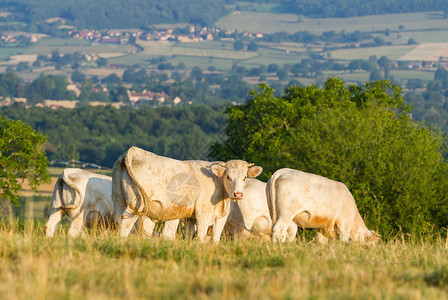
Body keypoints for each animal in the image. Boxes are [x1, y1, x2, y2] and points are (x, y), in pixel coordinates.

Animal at [111, 146, 262, 243]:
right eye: (228, 177)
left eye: (245, 178)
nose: (238, 194)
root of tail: (134, 151)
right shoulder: (203, 213)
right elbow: (202, 236)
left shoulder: (192, 217)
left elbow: (198, 236)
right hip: (135, 204)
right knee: (126, 224)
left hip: (119, 199)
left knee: (119, 220)